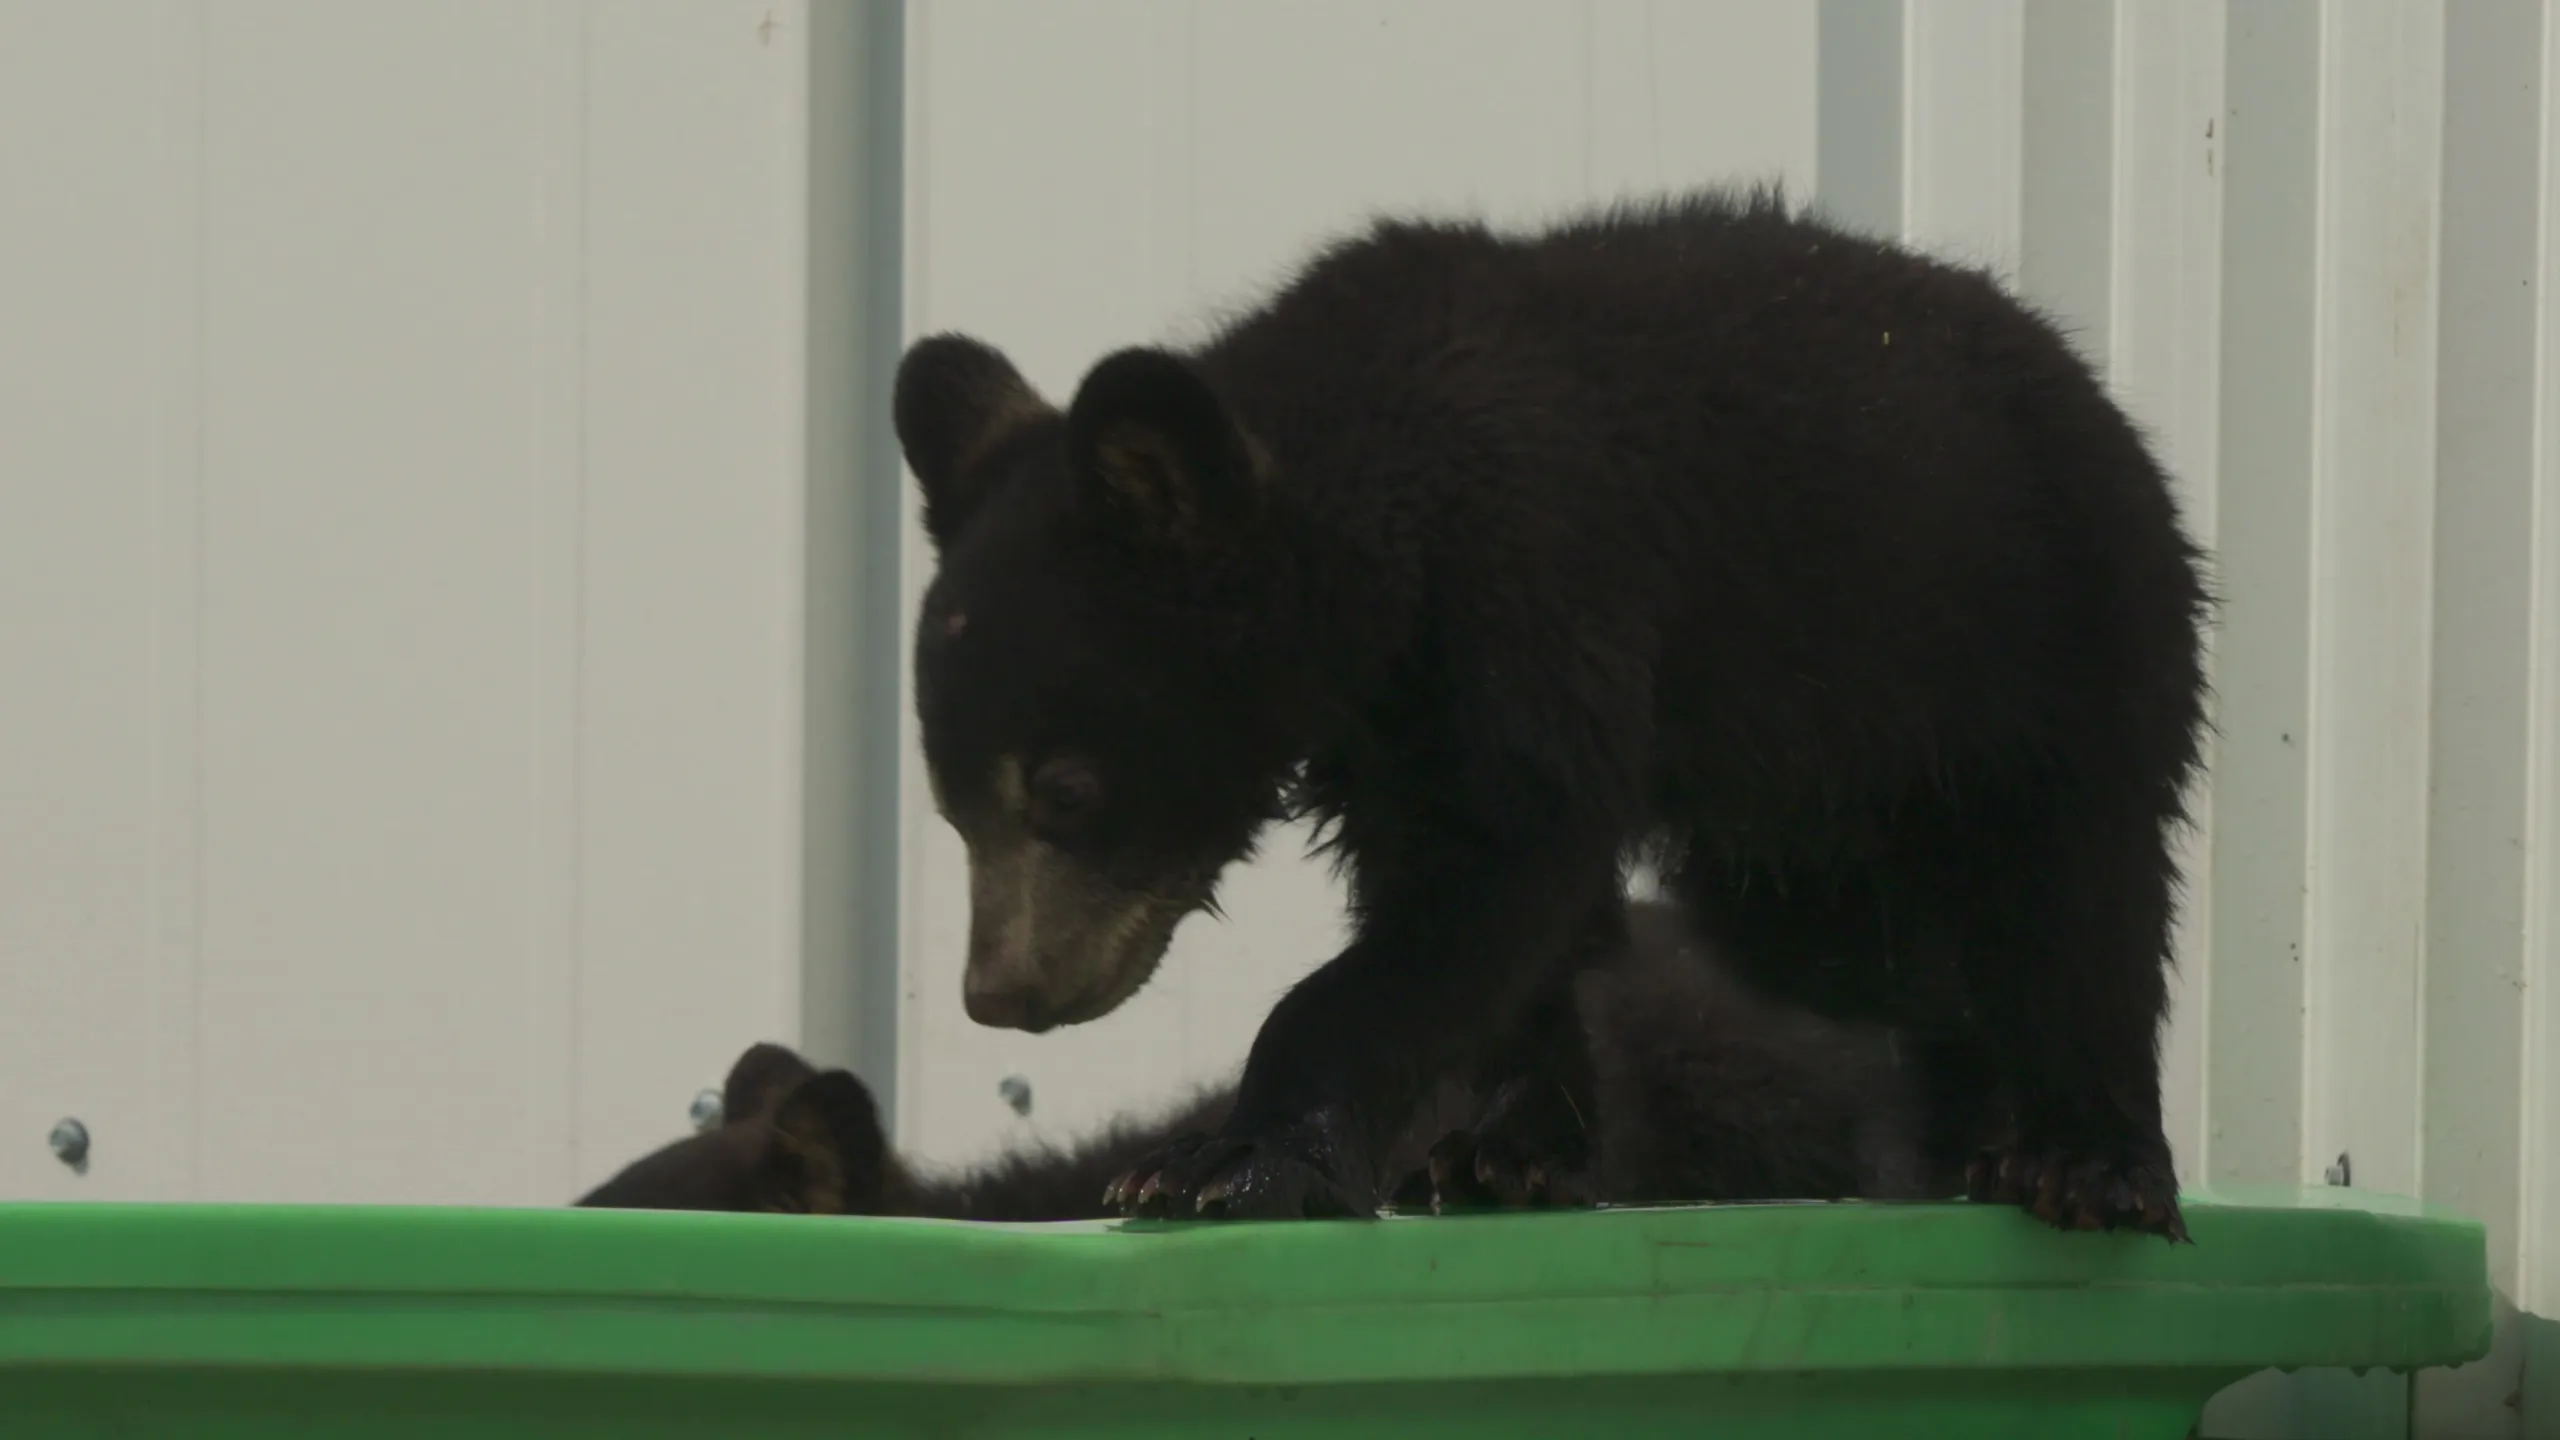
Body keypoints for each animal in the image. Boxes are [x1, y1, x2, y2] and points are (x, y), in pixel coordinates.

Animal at [894, 185, 2210, 1239]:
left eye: (1066, 791)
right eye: (949, 808)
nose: (998, 996)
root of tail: (2095, 390)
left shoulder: (1539, 580)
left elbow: (1496, 871)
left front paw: (1221, 1159)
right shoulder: (1388, 721)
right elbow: (1484, 911)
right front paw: (1505, 1152)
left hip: (2056, 622)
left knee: (2081, 883)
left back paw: (2087, 1159)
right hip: (1810, 812)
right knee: (1866, 949)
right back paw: (1958, 1120)